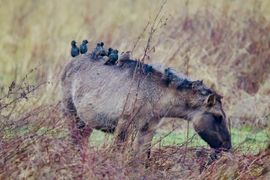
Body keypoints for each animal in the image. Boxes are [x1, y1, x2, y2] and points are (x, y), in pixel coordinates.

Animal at [61, 54, 232, 158]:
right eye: (218, 116)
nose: (227, 146)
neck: (158, 99)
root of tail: (69, 63)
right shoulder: (124, 124)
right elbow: (118, 151)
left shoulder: (148, 128)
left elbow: (141, 156)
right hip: (71, 114)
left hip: (86, 122)